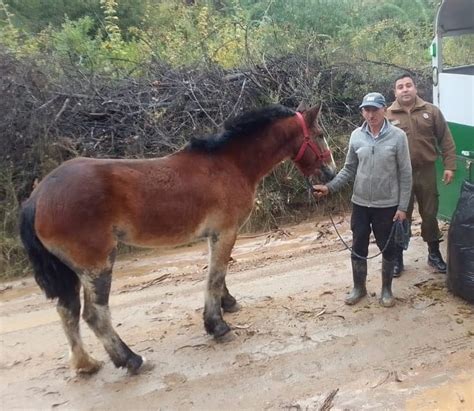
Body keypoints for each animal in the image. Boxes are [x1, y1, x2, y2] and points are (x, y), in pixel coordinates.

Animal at [19, 104, 336, 376]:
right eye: (320, 135)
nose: (330, 173)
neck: (230, 164)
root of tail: (37, 197)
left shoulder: (214, 236)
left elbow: (217, 274)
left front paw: (228, 304)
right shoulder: (225, 233)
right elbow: (215, 276)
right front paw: (217, 326)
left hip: (72, 271)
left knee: (67, 312)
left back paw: (86, 364)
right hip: (97, 265)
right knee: (95, 315)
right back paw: (131, 360)